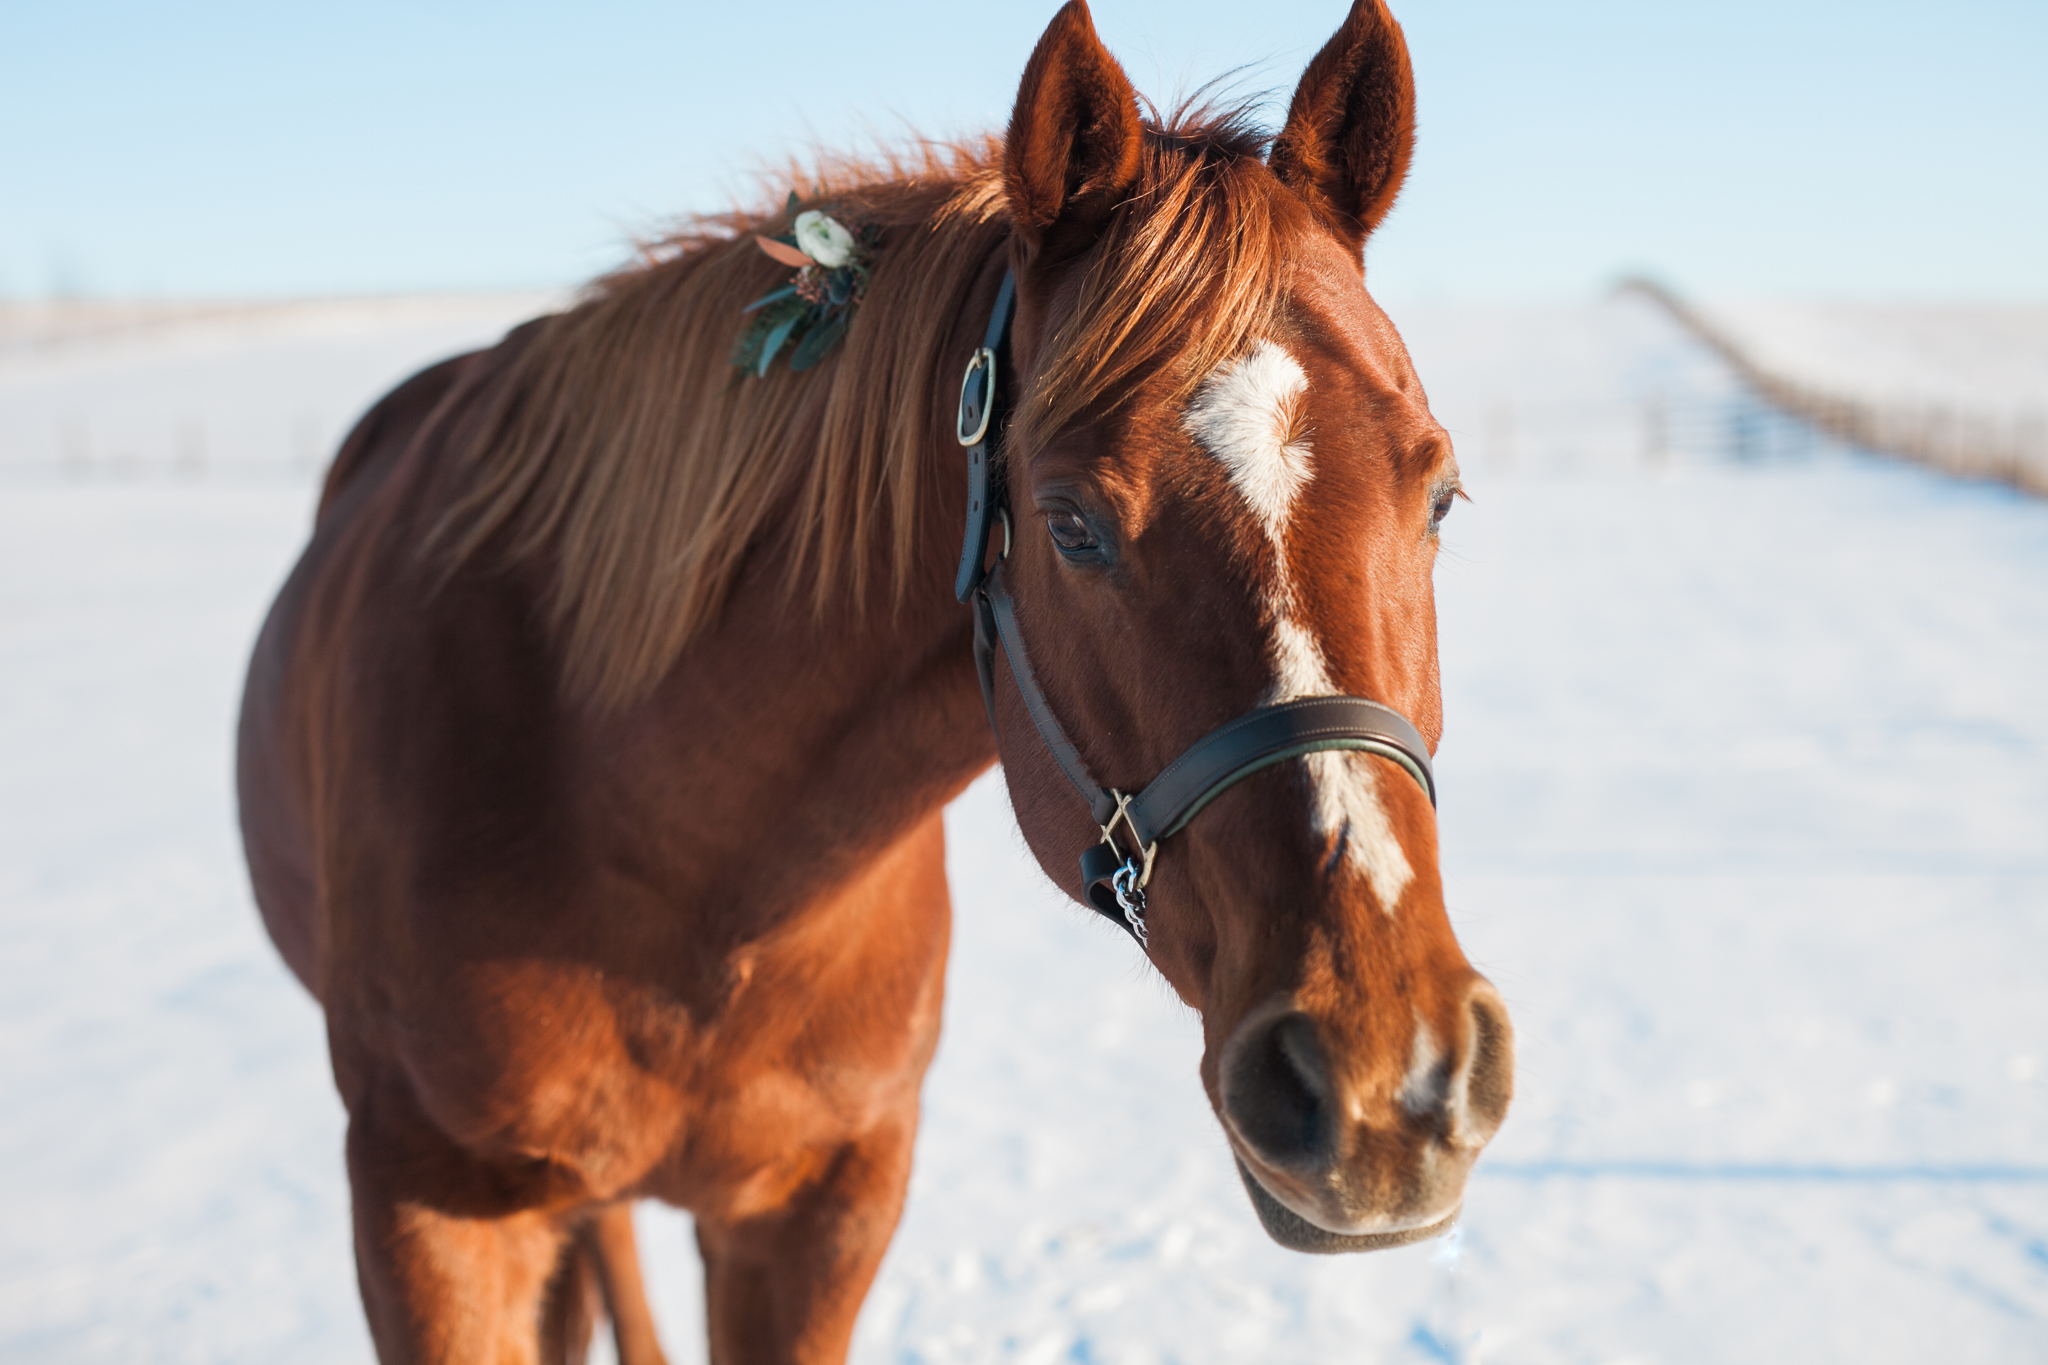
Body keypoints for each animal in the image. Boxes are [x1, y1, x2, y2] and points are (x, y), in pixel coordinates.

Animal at [239, 5, 1515, 1358]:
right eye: (1069, 525)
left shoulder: (824, 1208)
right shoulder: (432, 1214)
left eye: (1437, 495)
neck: (674, 855)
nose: (1386, 1080)